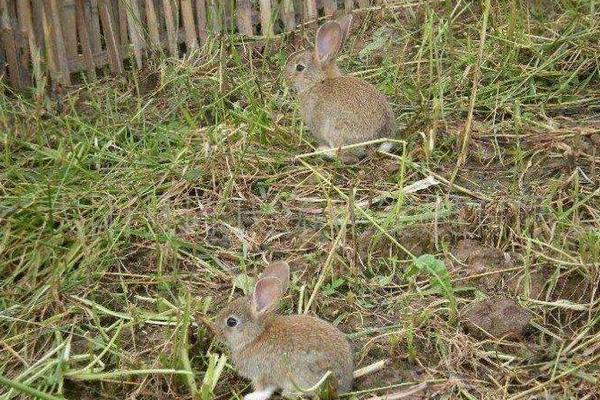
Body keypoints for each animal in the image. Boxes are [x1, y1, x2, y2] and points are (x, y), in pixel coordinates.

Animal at [216, 260, 354, 398]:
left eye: (231, 322)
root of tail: (344, 383)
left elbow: (264, 390)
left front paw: (250, 397)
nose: (217, 332)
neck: (256, 336)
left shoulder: (262, 374)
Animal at [284, 15, 396, 159]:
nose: (286, 78)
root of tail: (378, 141)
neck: (318, 82)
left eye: (299, 67)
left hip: (335, 131)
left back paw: (322, 150)